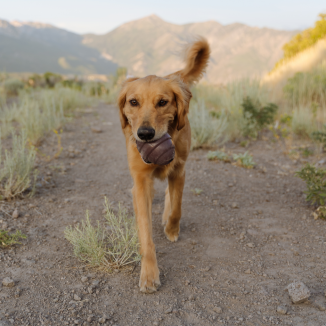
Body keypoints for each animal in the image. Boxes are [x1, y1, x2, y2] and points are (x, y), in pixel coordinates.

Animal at [118, 38, 210, 292]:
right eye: (133, 102)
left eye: (162, 102)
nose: (145, 134)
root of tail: (173, 75)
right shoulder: (140, 182)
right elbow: (145, 231)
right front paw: (149, 274)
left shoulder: (179, 170)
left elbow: (177, 206)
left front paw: (171, 228)